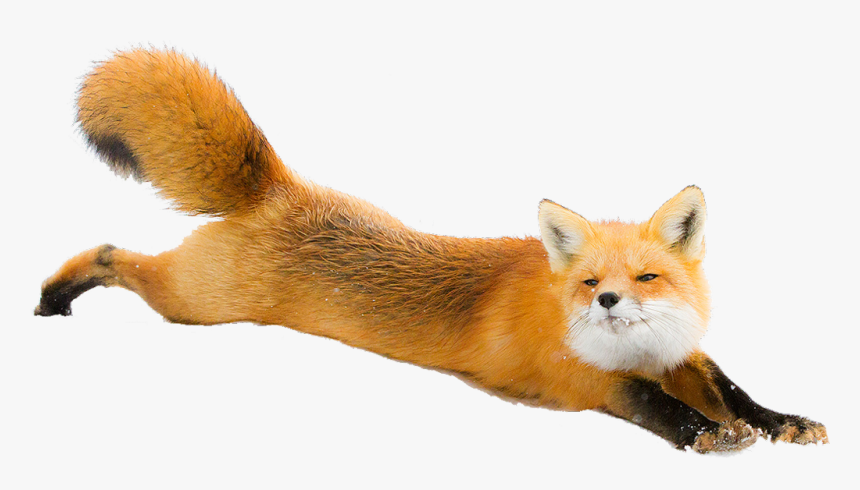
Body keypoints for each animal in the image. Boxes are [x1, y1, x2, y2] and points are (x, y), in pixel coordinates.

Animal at [35, 48, 827, 453]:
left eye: (647, 276)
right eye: (589, 282)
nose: (607, 300)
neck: (633, 348)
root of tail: (278, 189)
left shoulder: (680, 356)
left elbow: (735, 389)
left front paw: (779, 422)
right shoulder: (582, 380)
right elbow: (648, 402)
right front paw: (703, 433)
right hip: (195, 303)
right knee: (111, 251)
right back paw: (55, 294)